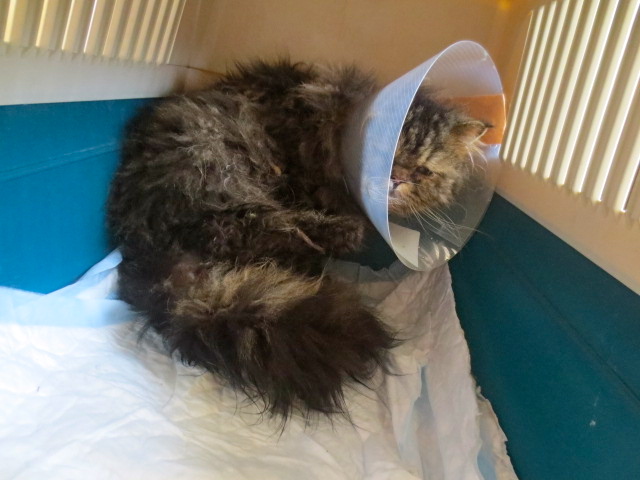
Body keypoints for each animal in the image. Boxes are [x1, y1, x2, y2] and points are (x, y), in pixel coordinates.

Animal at [107, 59, 488, 423]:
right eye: (385, 155)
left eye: (423, 172)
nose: (396, 180)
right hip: (222, 170)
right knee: (253, 229)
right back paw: (338, 238)